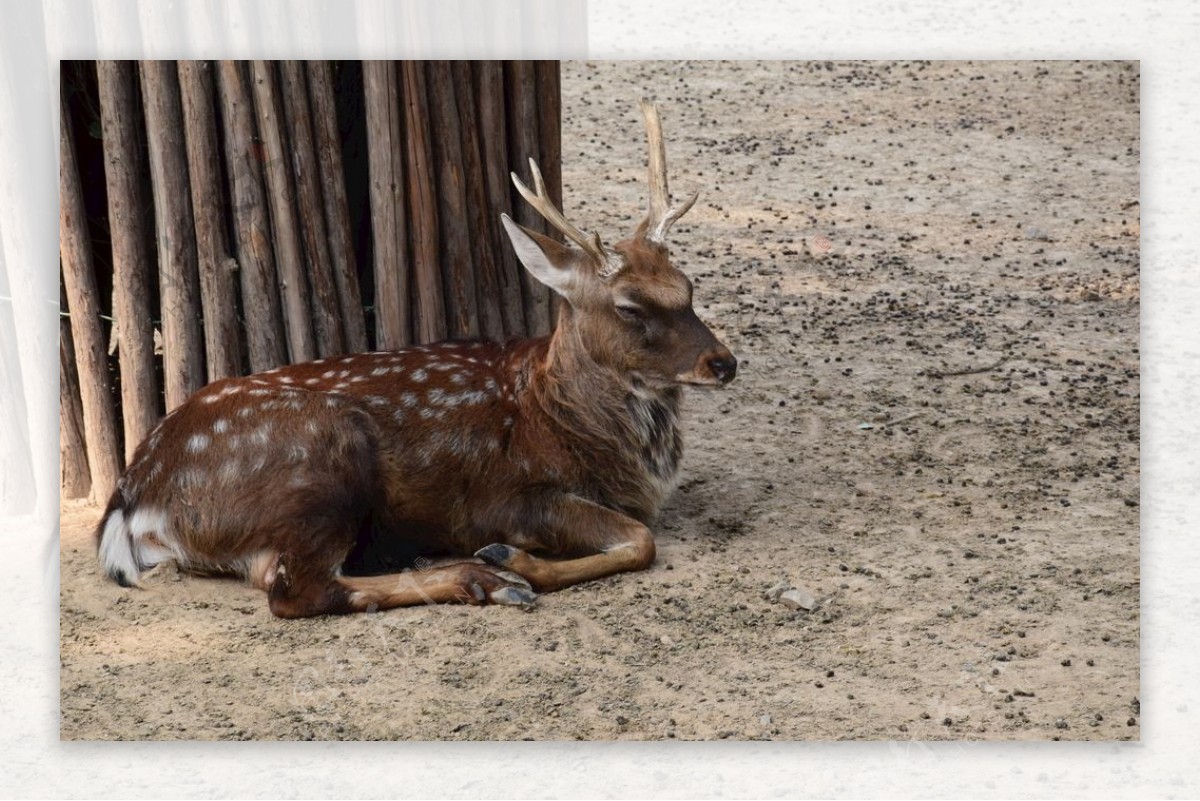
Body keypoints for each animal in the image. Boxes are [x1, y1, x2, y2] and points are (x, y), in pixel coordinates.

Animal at [96, 97, 729, 618]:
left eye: (688, 285)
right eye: (629, 306)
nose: (723, 362)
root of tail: (132, 501)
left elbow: (640, 537)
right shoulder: (507, 495)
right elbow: (641, 541)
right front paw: (513, 559)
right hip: (319, 460)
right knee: (297, 591)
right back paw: (486, 579)